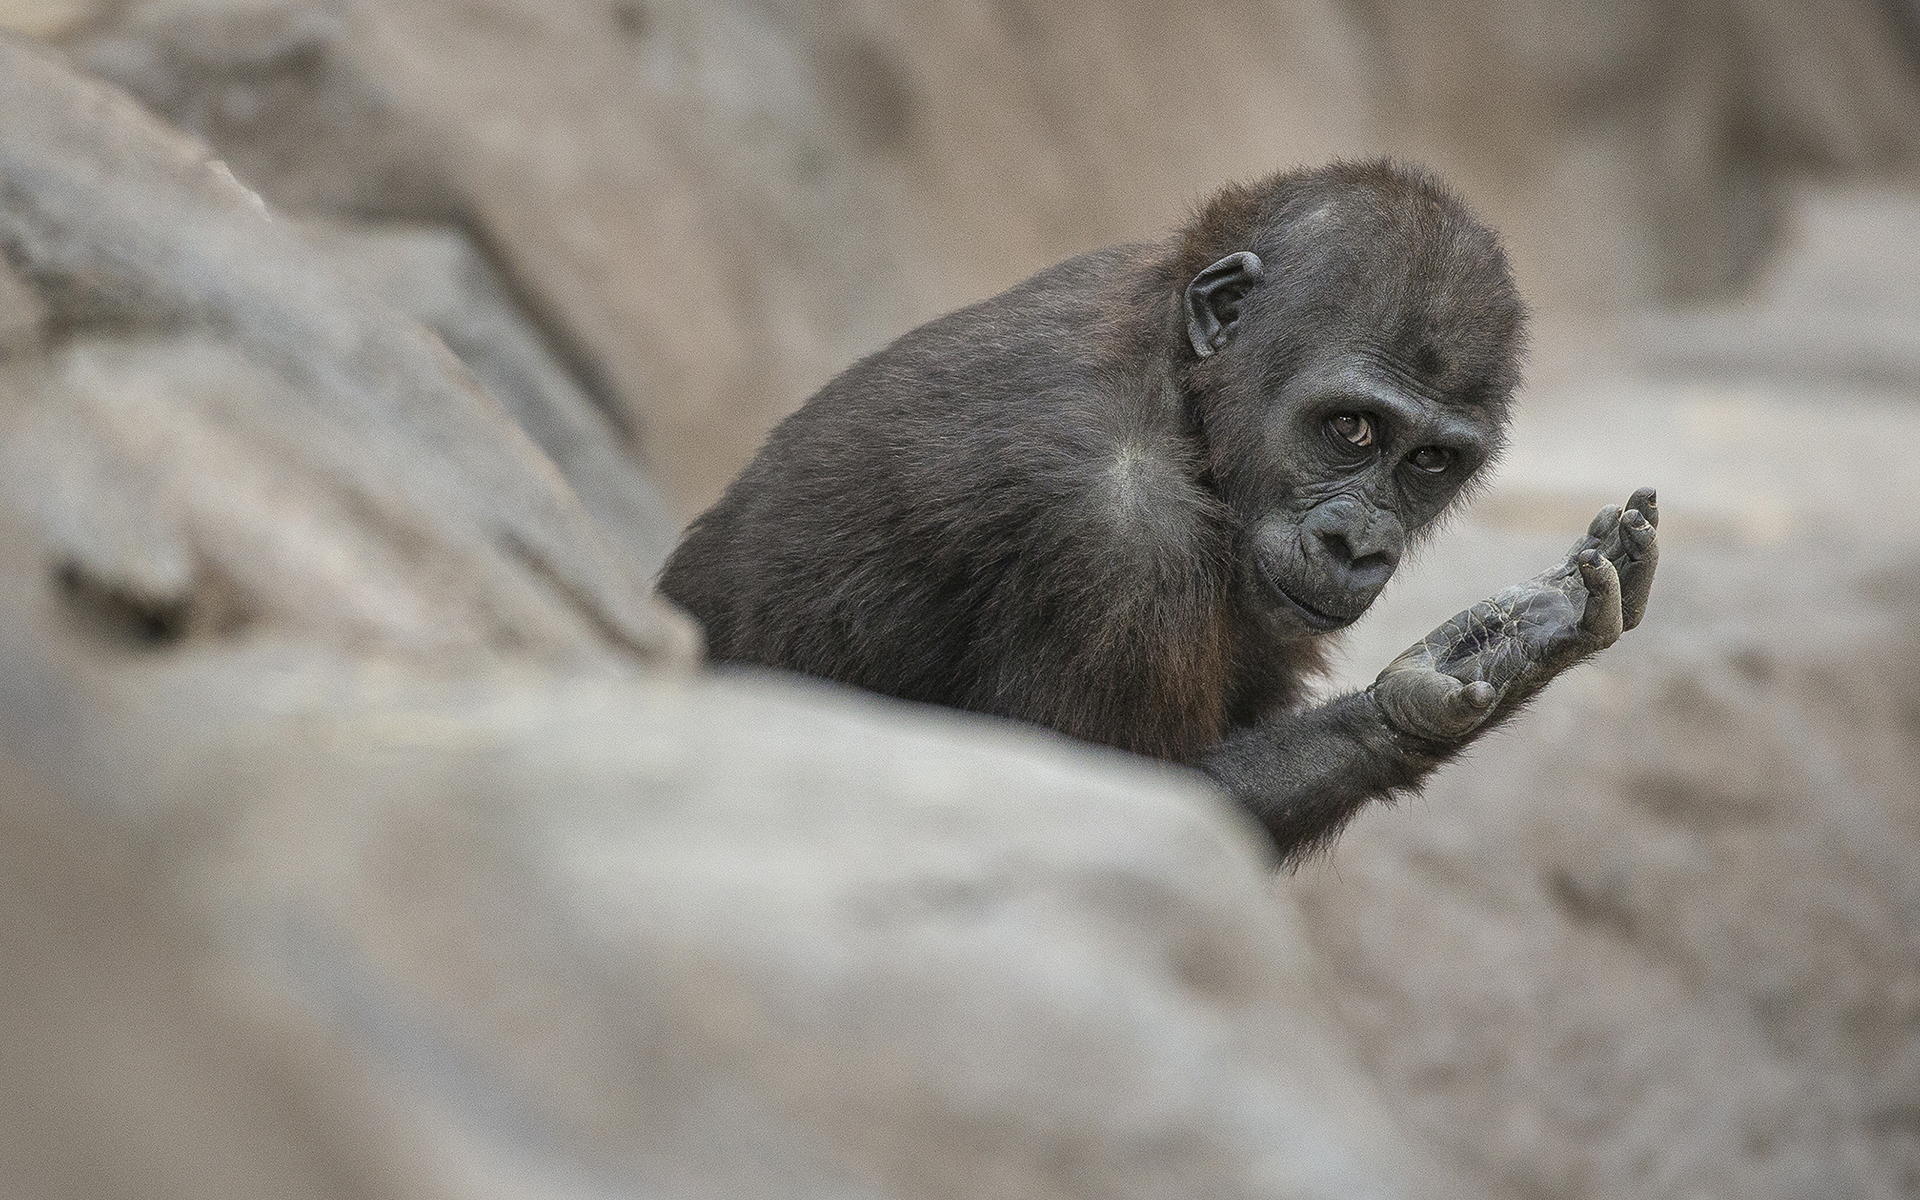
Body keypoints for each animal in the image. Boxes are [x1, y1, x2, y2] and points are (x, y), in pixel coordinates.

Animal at [659, 159, 1658, 865]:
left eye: (1428, 462)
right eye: (1350, 428)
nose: (1360, 543)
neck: (1188, 396)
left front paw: (1495, 657)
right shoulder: (1114, 530)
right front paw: (1433, 686)